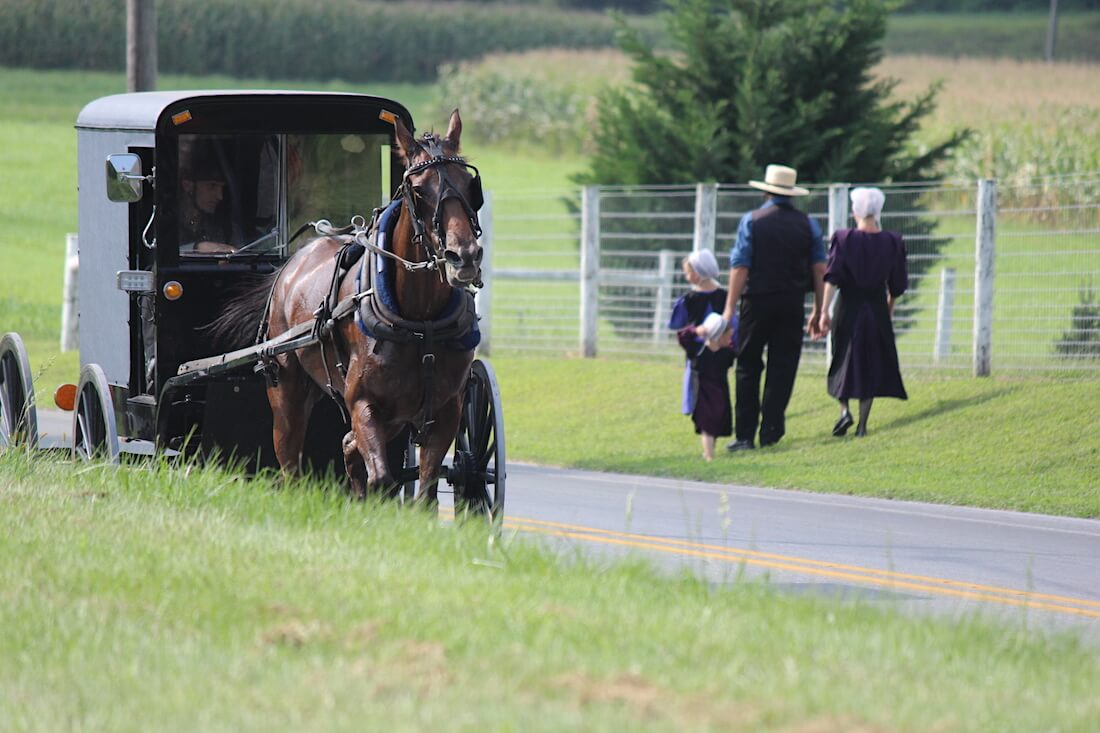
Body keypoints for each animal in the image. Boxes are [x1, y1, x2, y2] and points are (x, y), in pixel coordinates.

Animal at [216, 110, 484, 497]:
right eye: (418, 189)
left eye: (468, 184)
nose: (464, 256)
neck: (421, 322)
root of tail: (292, 263)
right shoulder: (363, 403)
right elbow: (381, 476)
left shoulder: (446, 409)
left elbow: (425, 487)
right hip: (286, 390)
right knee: (290, 457)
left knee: (347, 446)